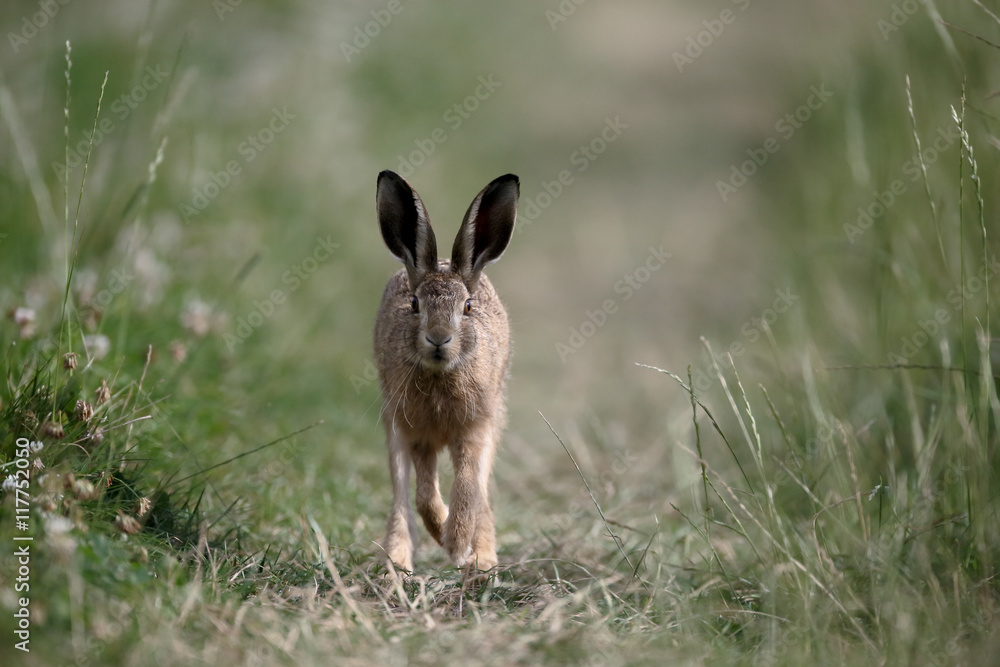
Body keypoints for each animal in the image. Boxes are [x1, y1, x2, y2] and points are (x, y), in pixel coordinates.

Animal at [373, 170, 518, 572]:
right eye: (414, 304)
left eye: (467, 307)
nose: (438, 338)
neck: (440, 375)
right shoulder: (415, 432)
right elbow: (423, 494)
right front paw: (442, 534)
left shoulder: (475, 427)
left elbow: (469, 486)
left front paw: (457, 544)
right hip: (393, 427)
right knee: (401, 498)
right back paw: (396, 565)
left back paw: (481, 560)